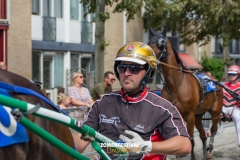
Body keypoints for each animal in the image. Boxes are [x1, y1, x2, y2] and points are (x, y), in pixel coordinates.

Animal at [148, 26, 223, 159]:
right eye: (148, 42)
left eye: (161, 43)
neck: (175, 85)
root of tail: (214, 80)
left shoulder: (189, 115)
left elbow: (191, 140)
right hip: (198, 115)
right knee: (203, 135)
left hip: (214, 112)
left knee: (213, 129)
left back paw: (209, 149)